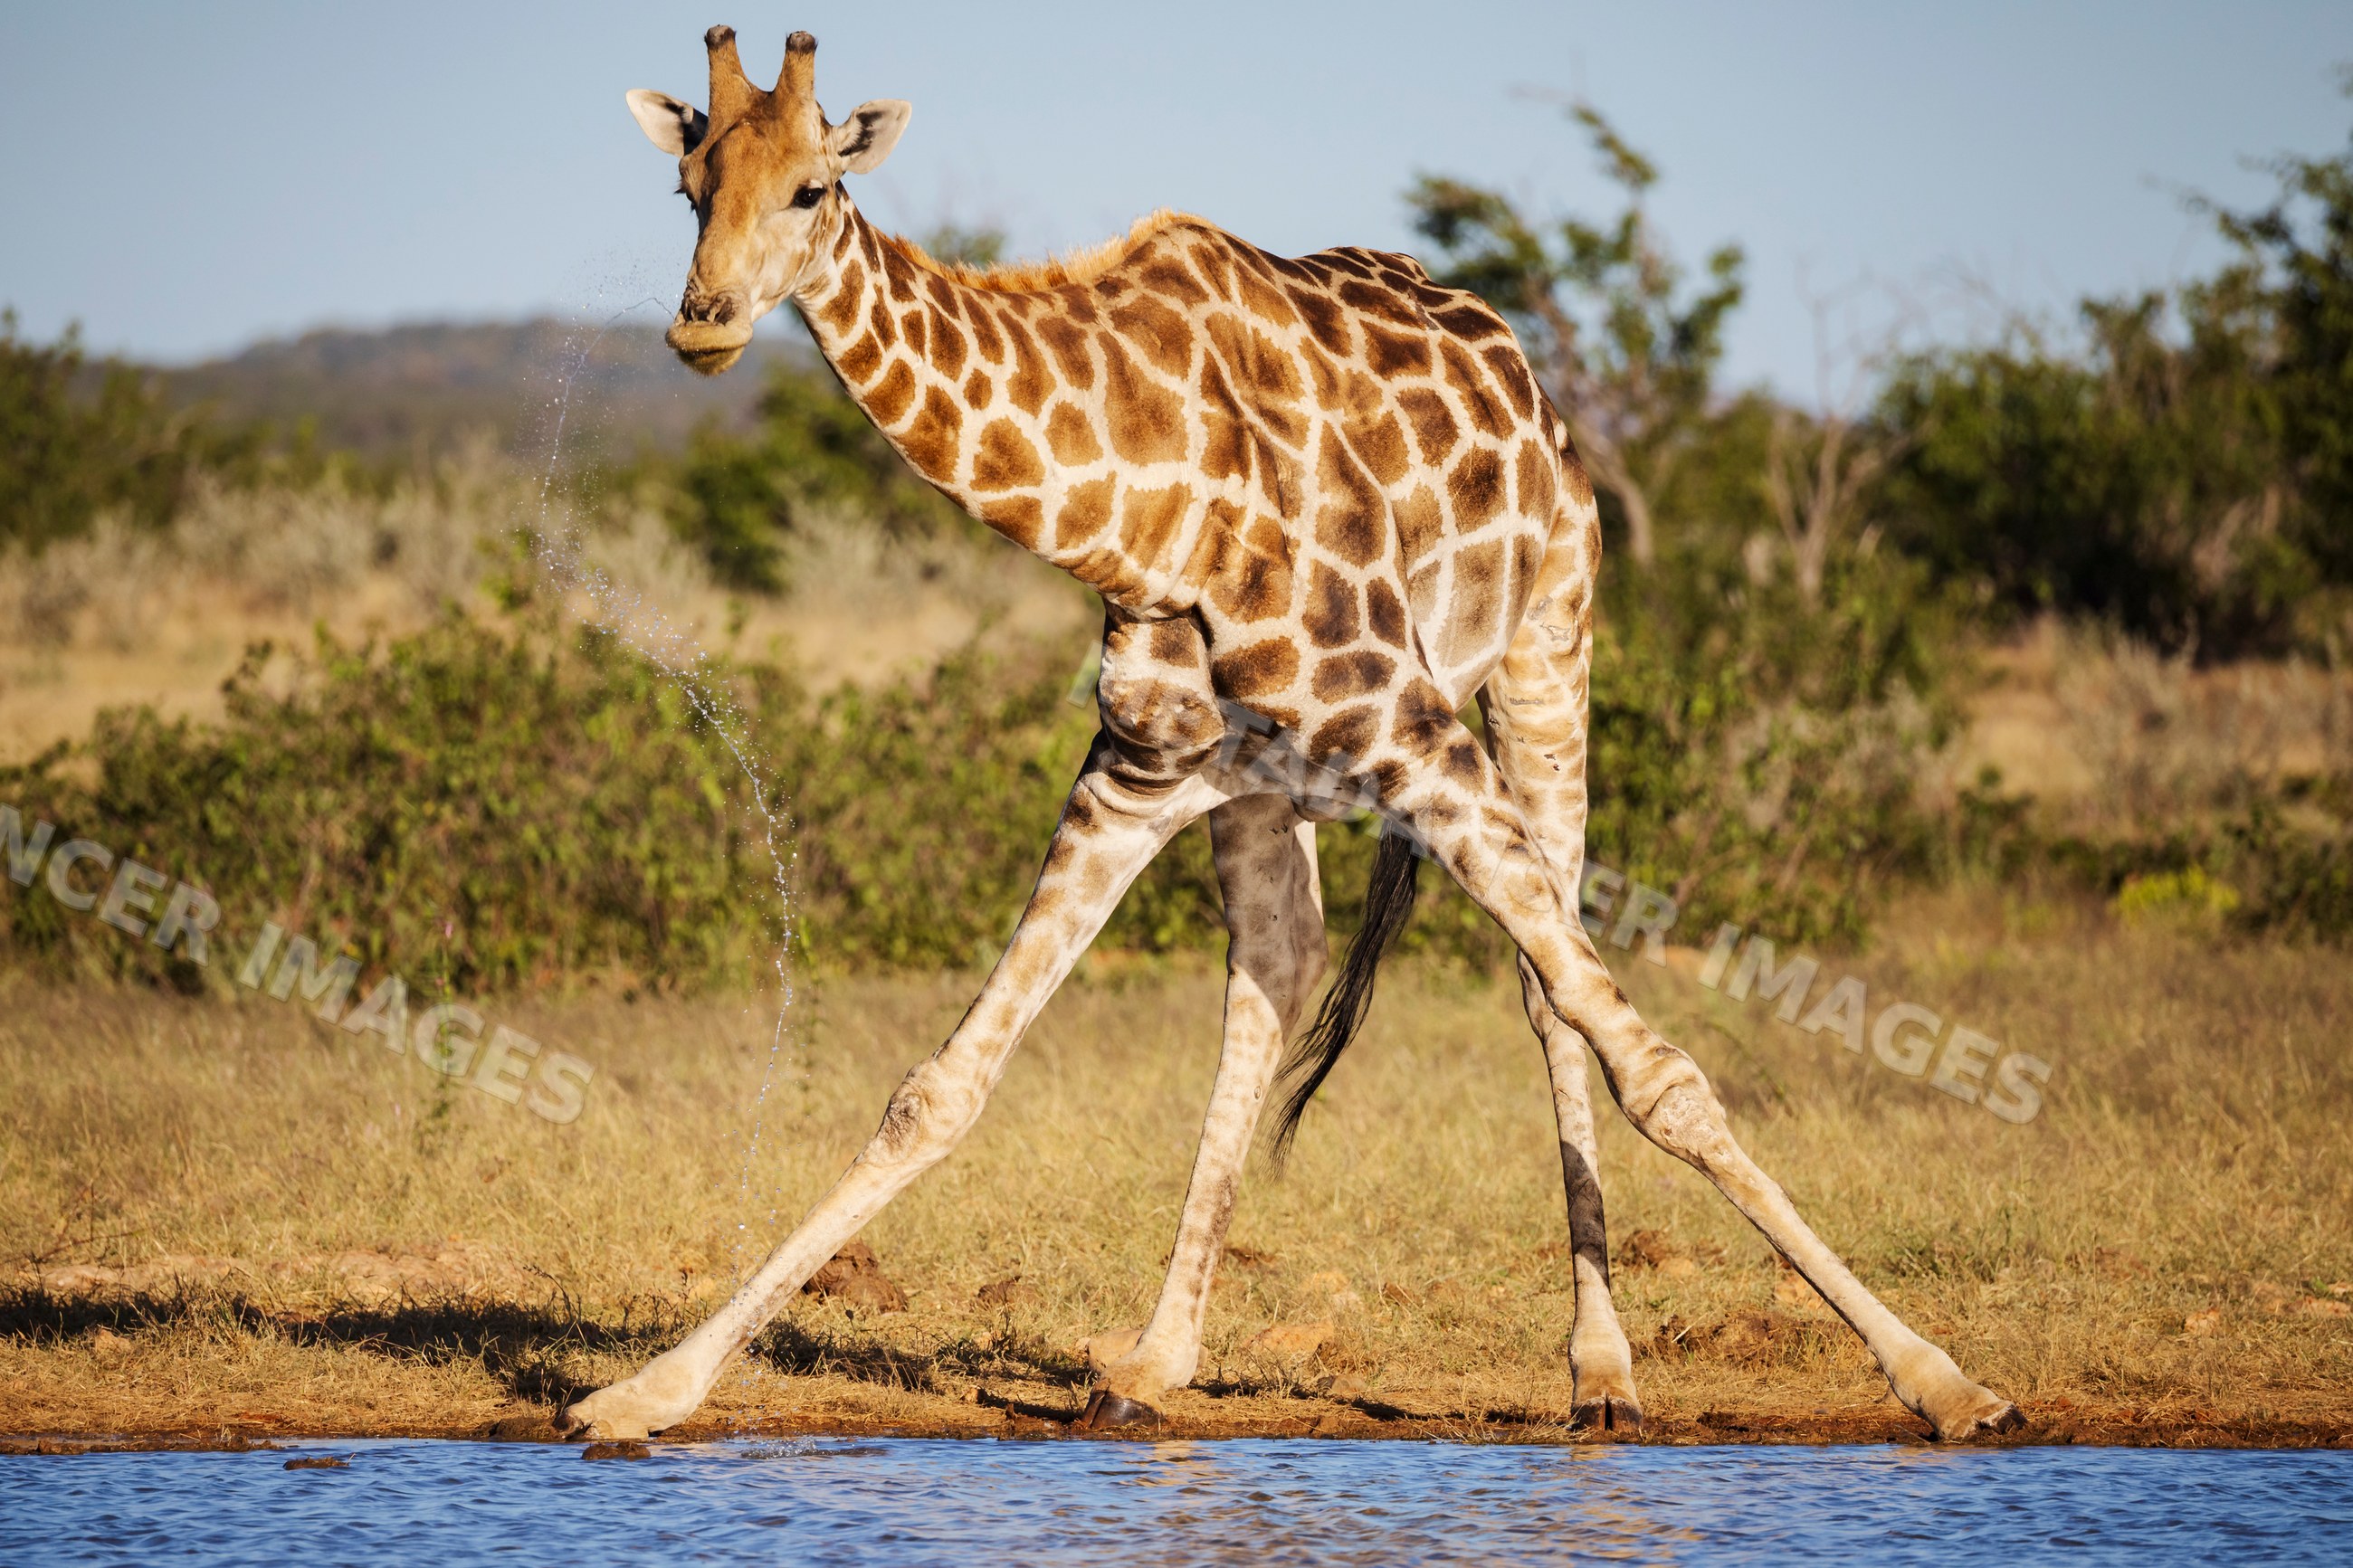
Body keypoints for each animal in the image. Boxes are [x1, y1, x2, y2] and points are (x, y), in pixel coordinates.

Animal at [563, 24, 2025, 1443]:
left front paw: (1947, 1381)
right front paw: (646, 1389)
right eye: (689, 188)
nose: (702, 326)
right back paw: (1151, 1364)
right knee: (1277, 970)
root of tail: (1525, 371)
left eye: (811, 189)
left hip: (1545, 659)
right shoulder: (1139, 769)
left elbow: (1654, 1069)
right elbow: (940, 1087)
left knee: (1544, 990)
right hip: (1270, 788)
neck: (1140, 508)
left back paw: (1603, 1374)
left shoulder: (1415, 728)